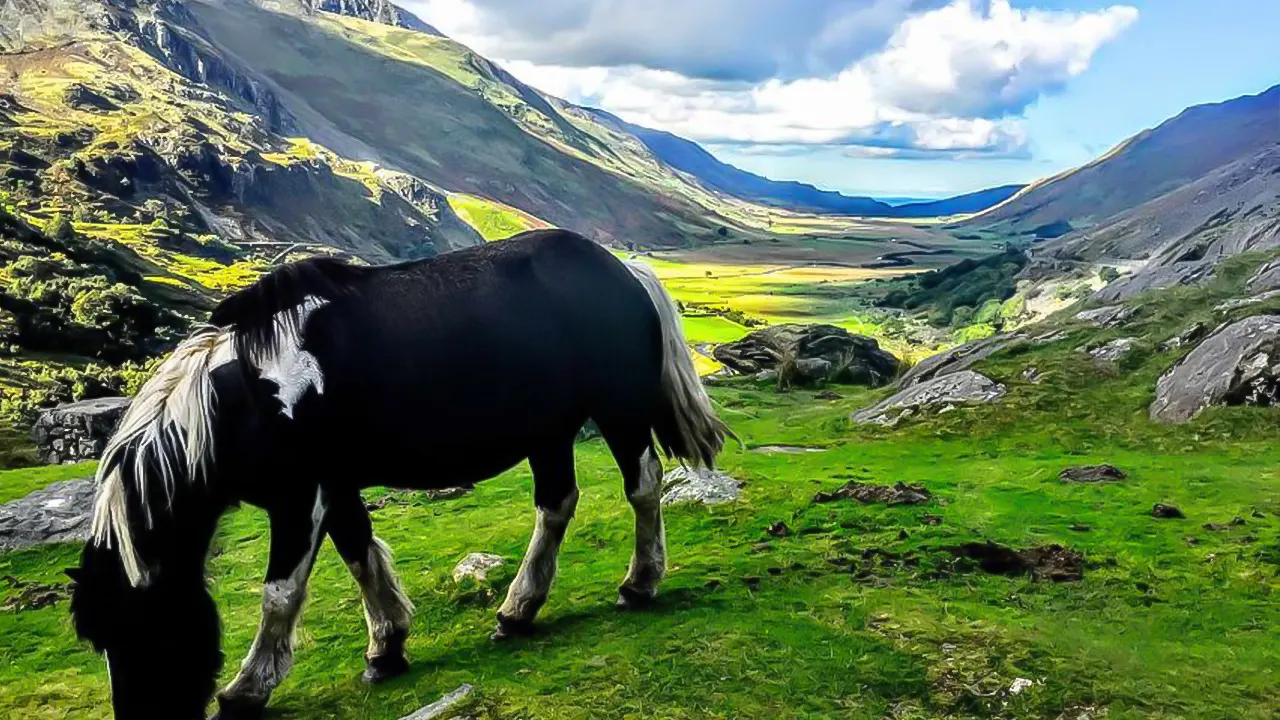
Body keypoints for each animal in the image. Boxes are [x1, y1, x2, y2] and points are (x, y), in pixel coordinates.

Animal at [67, 229, 732, 717]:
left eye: (134, 628)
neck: (248, 395)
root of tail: (625, 270)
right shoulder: (334, 488)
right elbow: (360, 555)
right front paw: (387, 647)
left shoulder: (299, 497)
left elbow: (281, 592)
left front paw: (248, 687)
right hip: (549, 433)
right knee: (557, 503)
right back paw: (518, 611)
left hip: (619, 412)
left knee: (641, 486)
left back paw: (639, 584)